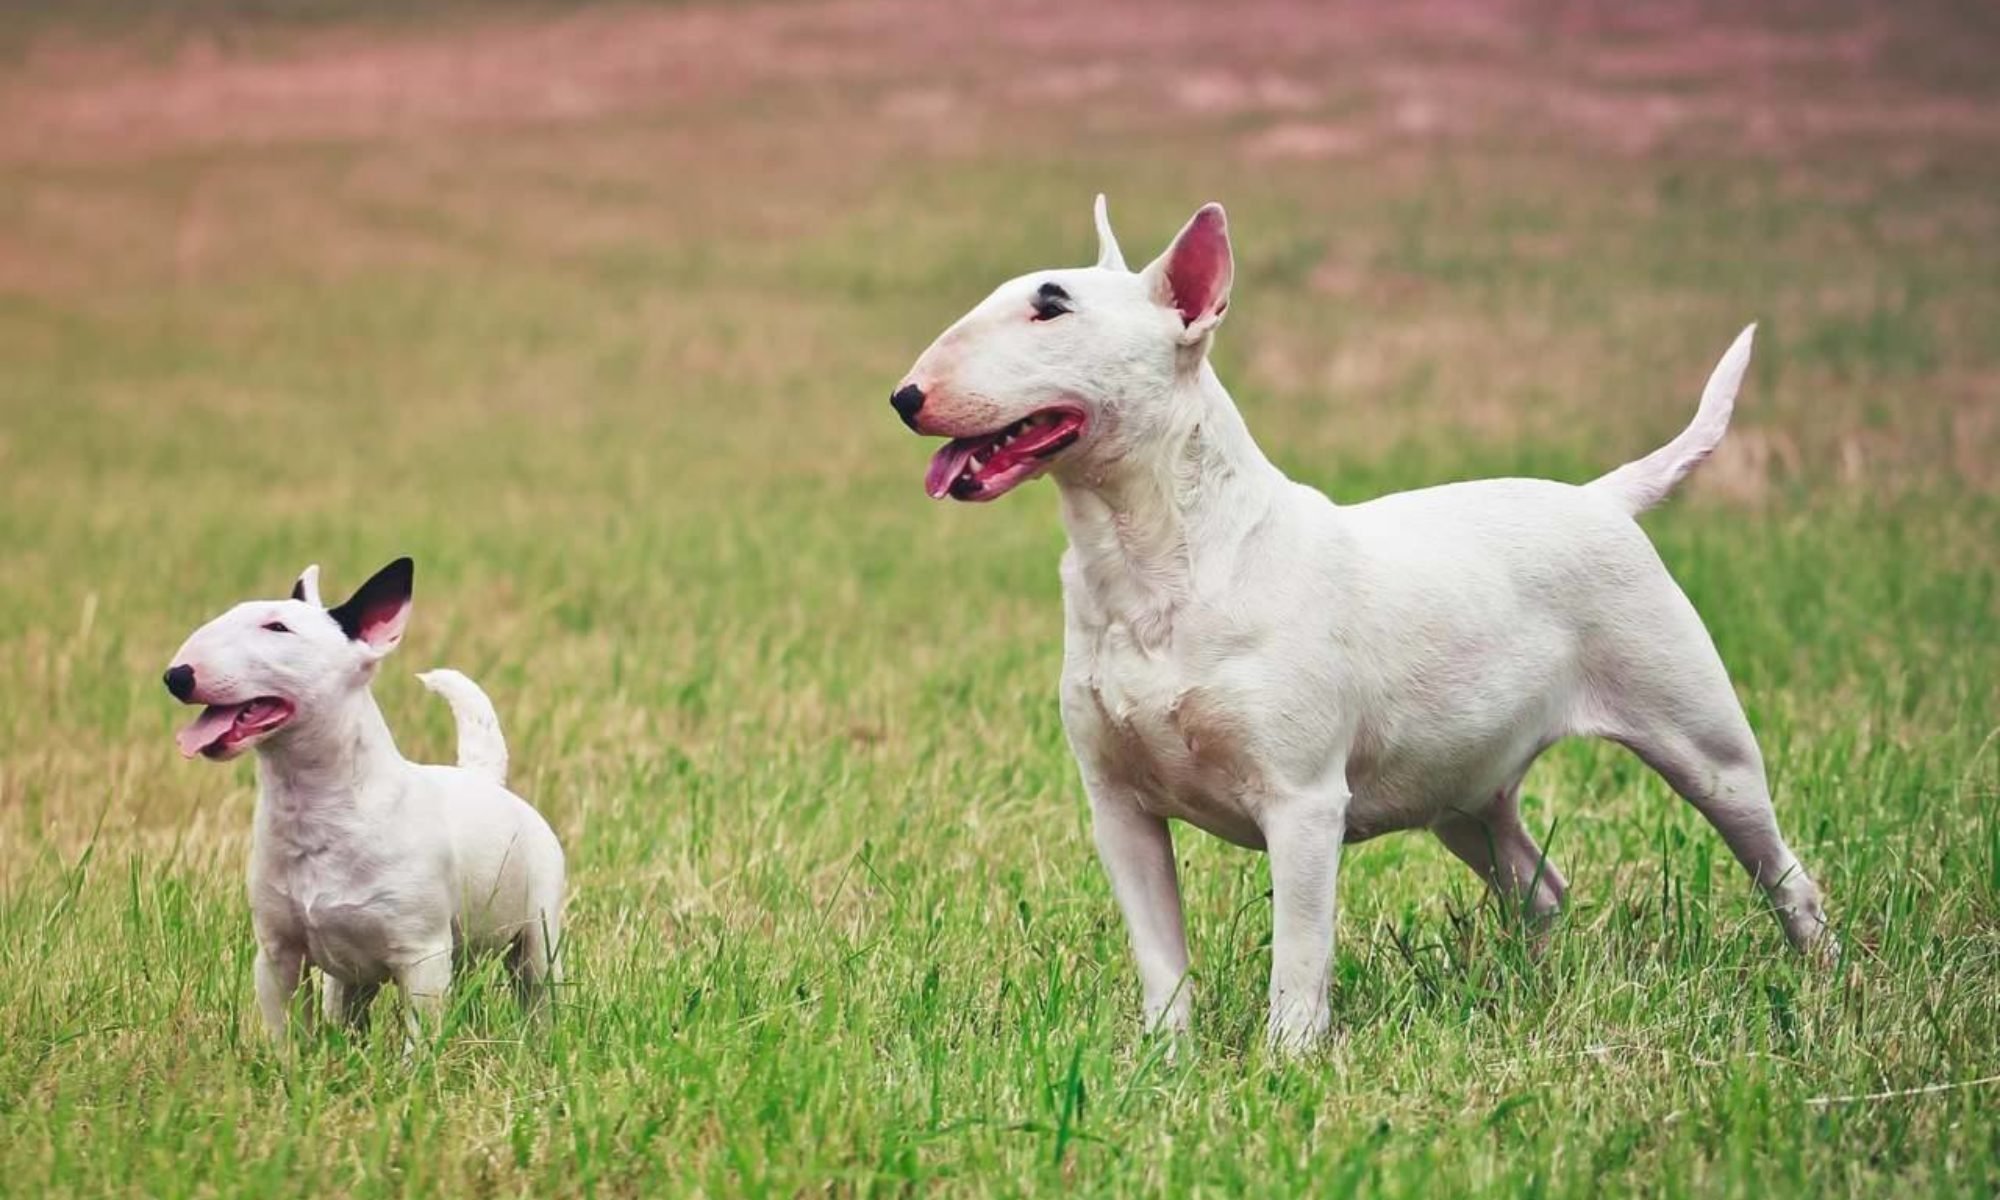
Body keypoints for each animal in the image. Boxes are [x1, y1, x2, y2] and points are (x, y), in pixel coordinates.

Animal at [165, 560, 568, 1040]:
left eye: (278, 627)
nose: (176, 676)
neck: (318, 808)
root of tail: (483, 779)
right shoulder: (277, 954)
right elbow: (287, 1034)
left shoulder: (423, 956)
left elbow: (420, 1038)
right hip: (349, 982)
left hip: (538, 937)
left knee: (538, 994)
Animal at [900, 197, 1832, 1048]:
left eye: (1051, 306)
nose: (905, 397)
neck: (1155, 559)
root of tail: (1602, 499)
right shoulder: (1117, 808)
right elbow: (1161, 959)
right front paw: (1164, 1064)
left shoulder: (1304, 803)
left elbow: (1299, 959)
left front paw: (1287, 1066)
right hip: (1464, 794)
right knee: (1540, 886)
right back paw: (1535, 987)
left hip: (1699, 736)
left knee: (1781, 868)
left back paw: (1822, 973)